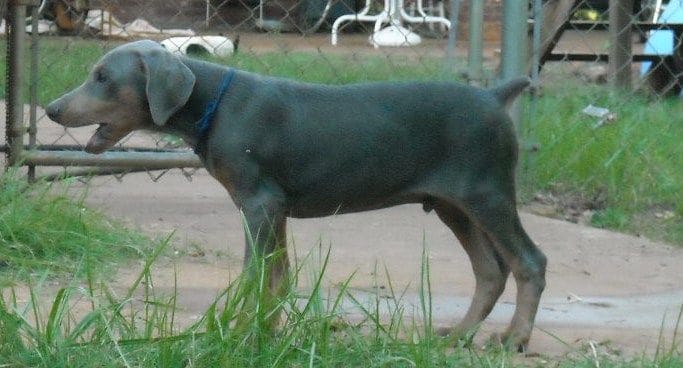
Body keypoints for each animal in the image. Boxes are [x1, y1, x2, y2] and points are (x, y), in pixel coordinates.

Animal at [46, 40, 544, 350]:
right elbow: (277, 276)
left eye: (102, 76)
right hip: (453, 205)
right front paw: (266, 332)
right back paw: (460, 335)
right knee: (490, 271)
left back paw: (515, 339)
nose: (51, 109)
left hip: (486, 194)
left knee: (529, 262)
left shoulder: (259, 204)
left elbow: (256, 275)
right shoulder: (274, 208)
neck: (214, 105)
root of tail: (495, 97)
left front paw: (240, 331)